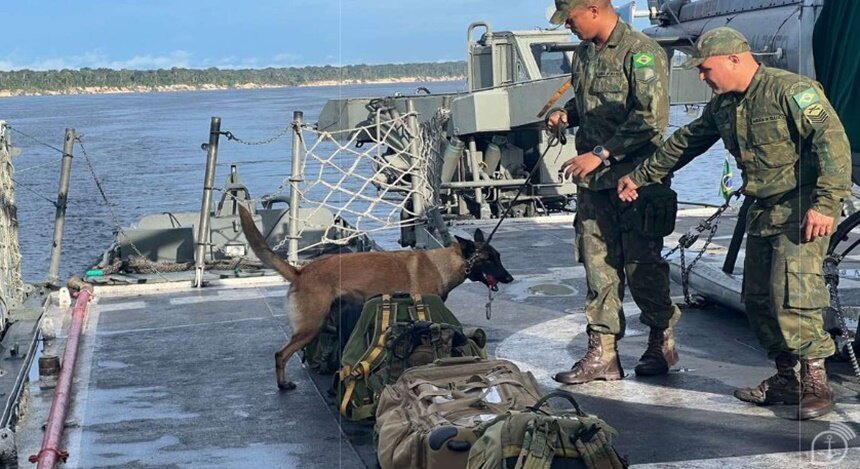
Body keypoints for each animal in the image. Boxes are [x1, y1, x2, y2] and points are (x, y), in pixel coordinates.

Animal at [237, 204, 510, 388]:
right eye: (490, 260)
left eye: (498, 256)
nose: (509, 278)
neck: (444, 263)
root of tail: (300, 271)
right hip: (309, 326)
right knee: (281, 354)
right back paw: (283, 384)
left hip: (324, 319)